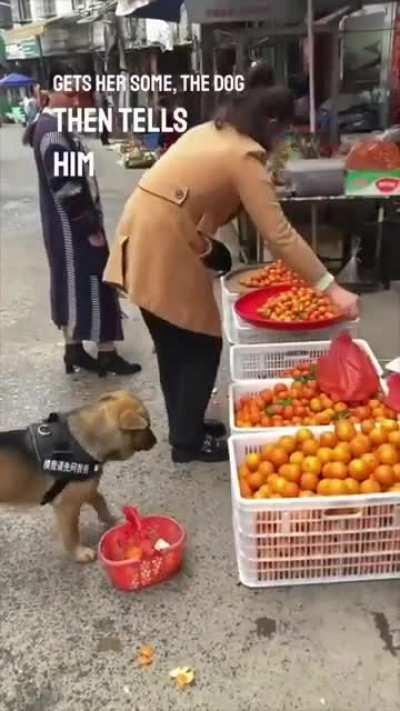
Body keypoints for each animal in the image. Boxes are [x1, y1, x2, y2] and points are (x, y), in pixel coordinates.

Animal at [0, 392, 156, 564]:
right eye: (147, 425)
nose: (155, 440)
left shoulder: (87, 489)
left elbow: (100, 502)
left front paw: (111, 520)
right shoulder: (67, 507)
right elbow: (71, 533)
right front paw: (79, 552)